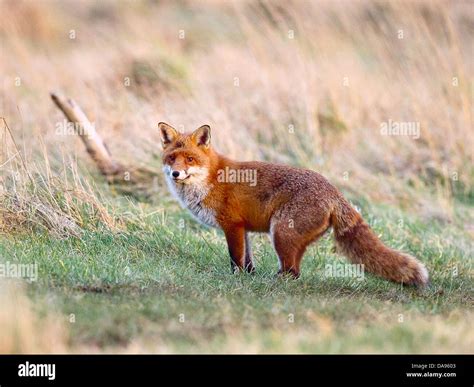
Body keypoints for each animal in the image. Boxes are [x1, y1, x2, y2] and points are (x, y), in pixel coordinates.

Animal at [159, 123, 430, 286]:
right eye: (171, 158)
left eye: (190, 159)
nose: (176, 174)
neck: (210, 179)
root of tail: (335, 192)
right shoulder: (243, 228)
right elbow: (248, 260)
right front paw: (249, 277)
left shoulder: (232, 225)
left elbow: (235, 259)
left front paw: (237, 280)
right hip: (289, 238)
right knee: (295, 271)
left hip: (280, 233)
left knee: (292, 272)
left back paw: (274, 283)